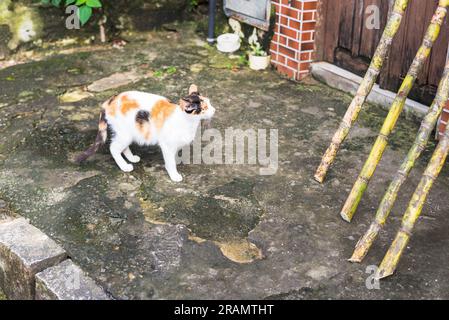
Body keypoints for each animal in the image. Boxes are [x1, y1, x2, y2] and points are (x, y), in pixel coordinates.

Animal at [76, 84, 216, 181]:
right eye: (205, 108)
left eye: (209, 103)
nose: (214, 110)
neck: (187, 122)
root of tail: (109, 101)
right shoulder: (167, 146)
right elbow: (170, 162)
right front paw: (174, 174)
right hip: (124, 134)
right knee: (113, 148)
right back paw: (125, 166)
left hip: (128, 133)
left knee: (123, 147)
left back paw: (132, 158)